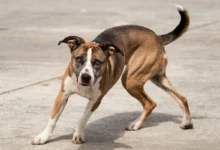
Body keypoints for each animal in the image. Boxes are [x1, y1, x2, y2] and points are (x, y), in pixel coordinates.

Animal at [31, 4, 192, 145]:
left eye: (97, 62)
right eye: (79, 59)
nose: (86, 77)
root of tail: (157, 37)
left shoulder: (96, 100)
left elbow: (83, 118)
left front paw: (78, 134)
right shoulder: (63, 94)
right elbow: (52, 119)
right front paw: (43, 137)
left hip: (131, 80)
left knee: (150, 103)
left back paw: (136, 124)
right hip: (157, 77)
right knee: (182, 98)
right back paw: (187, 122)